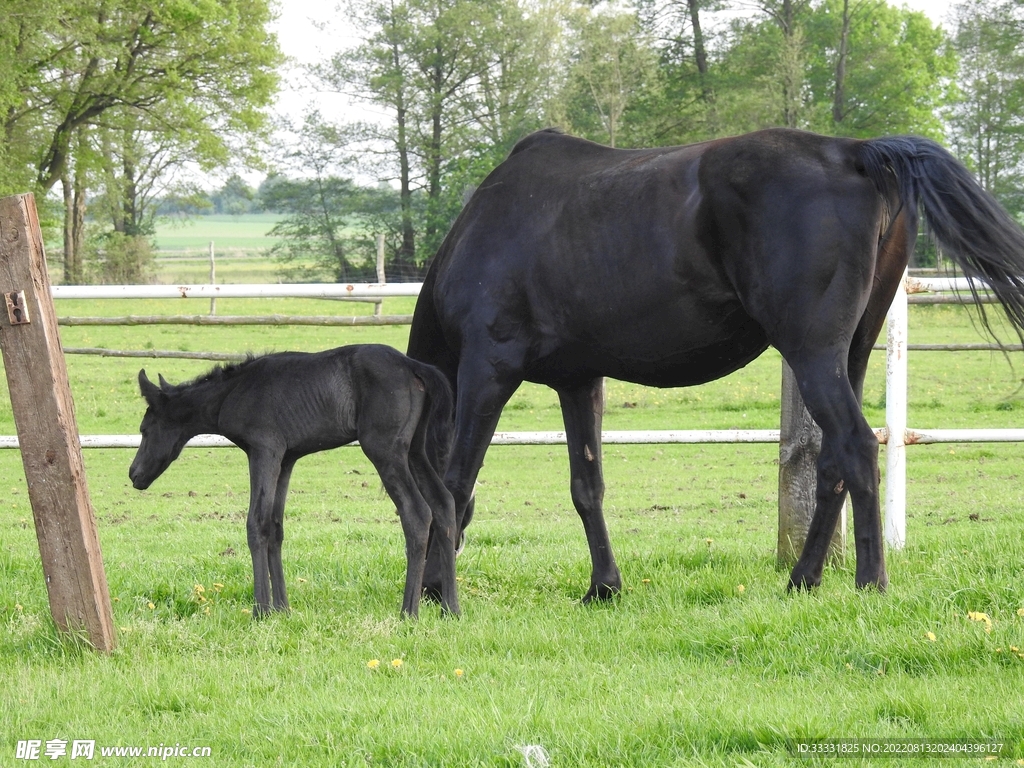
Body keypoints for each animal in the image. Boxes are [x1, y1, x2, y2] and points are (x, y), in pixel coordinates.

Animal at [128, 344, 460, 618]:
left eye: (145, 428)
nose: (134, 474)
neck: (235, 391)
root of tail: (413, 366)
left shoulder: (264, 450)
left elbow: (256, 523)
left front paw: (261, 610)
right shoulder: (286, 460)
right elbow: (275, 527)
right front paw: (282, 609)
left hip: (385, 450)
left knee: (417, 513)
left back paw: (409, 612)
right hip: (414, 450)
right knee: (444, 504)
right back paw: (451, 609)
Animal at [406, 127, 1024, 601]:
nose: (421, 585)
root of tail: (854, 151)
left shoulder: (488, 370)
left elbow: (454, 483)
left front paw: (438, 595)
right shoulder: (578, 382)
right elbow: (587, 486)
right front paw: (603, 588)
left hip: (812, 354)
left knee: (856, 447)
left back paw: (870, 582)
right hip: (851, 354)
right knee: (832, 462)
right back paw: (803, 579)